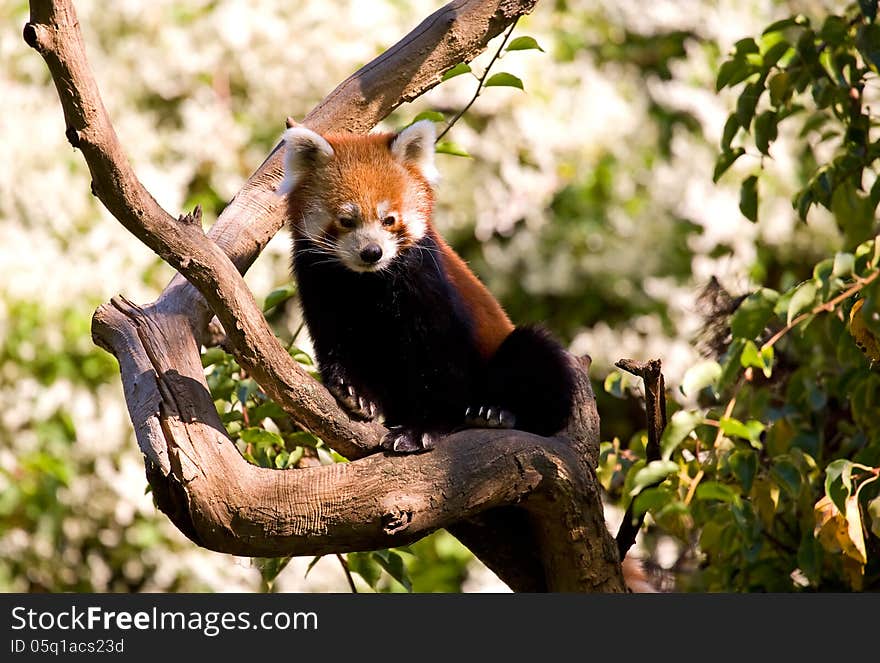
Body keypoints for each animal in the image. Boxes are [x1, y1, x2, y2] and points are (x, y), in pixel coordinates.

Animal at [278, 119, 576, 454]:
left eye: (389, 220)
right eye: (346, 220)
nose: (372, 252)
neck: (368, 282)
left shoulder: (428, 285)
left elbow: (441, 361)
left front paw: (424, 428)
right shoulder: (319, 282)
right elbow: (335, 338)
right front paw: (353, 390)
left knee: (536, 352)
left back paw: (496, 412)